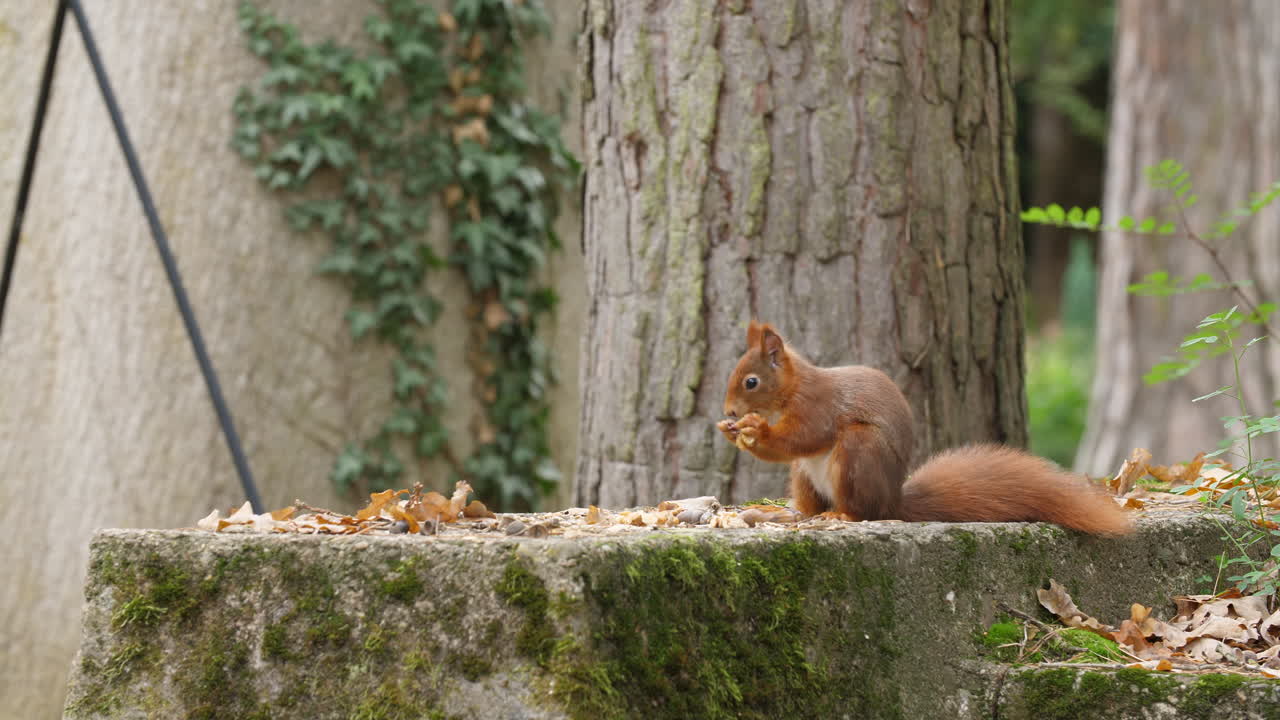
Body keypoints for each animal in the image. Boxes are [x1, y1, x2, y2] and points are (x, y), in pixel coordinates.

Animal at [716, 321, 1132, 535]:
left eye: (751, 382)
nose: (729, 411)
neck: (795, 386)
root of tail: (892, 501)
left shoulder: (818, 407)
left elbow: (802, 436)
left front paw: (754, 430)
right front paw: (732, 430)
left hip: (859, 452)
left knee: (862, 510)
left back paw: (842, 516)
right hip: (803, 475)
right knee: (810, 504)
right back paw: (795, 515)